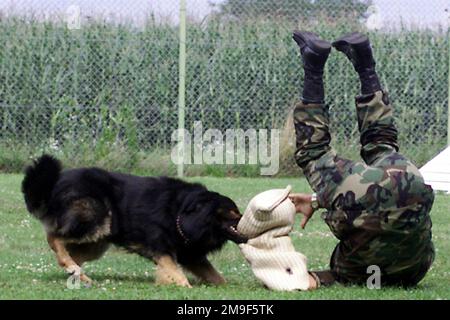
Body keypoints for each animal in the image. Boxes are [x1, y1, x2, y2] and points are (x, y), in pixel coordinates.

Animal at [22, 155, 246, 288]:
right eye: (234, 212)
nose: (247, 220)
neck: (183, 214)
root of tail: (52, 185)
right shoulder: (162, 249)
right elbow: (177, 274)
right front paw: (183, 286)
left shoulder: (190, 255)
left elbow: (218, 277)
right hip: (96, 218)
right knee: (55, 239)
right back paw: (71, 267)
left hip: (97, 242)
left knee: (71, 255)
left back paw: (77, 274)